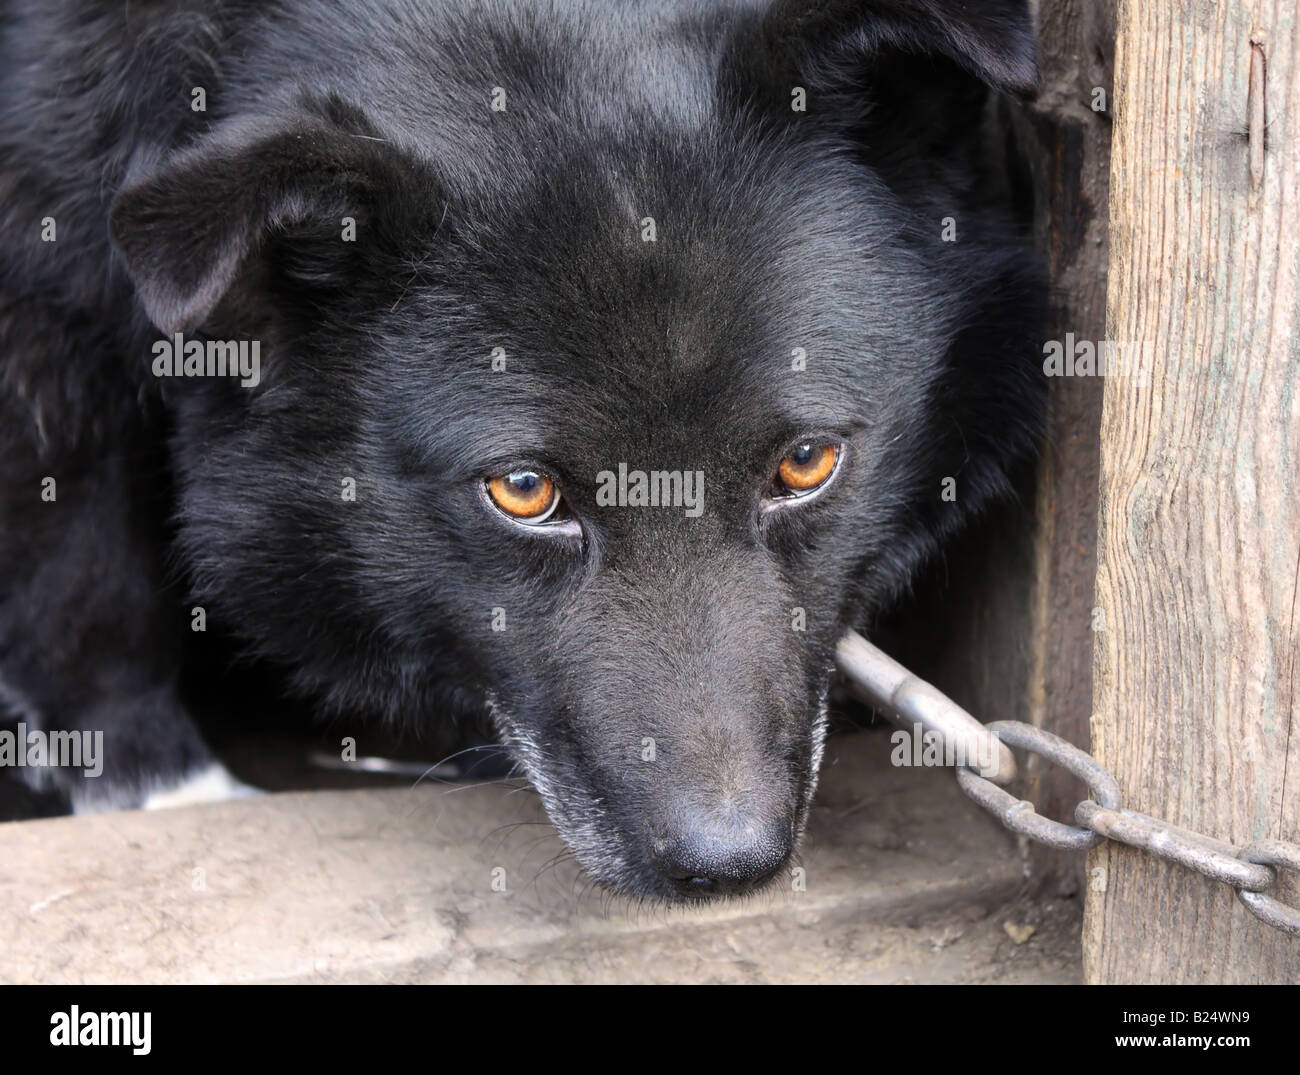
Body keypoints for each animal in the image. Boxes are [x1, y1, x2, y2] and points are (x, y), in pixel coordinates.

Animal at [0, 2, 1040, 899]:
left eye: (806, 462)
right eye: (525, 490)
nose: (729, 866)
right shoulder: (43, 315)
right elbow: (85, 575)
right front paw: (157, 784)